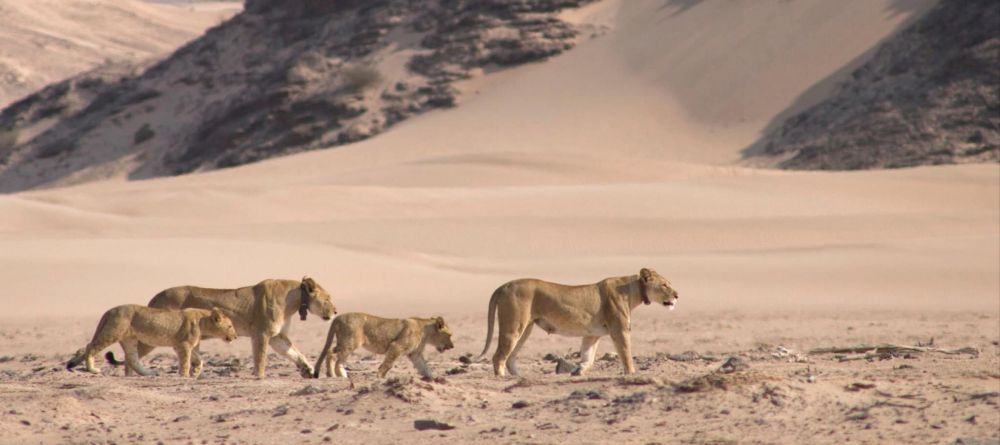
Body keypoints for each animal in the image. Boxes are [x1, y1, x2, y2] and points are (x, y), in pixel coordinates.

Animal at [66, 305, 237, 377]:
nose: (235, 337)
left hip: (129, 339)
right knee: (90, 346)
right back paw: (92, 369)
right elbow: (186, 361)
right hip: (112, 332)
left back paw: (148, 373)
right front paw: (184, 375)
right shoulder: (184, 344)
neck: (203, 321)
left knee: (132, 359)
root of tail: (109, 311)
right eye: (230, 326)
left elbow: (199, 359)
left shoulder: (182, 345)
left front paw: (195, 372)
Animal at [107, 277, 337, 378]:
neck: (295, 300)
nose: (335, 311)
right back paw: (131, 376)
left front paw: (307, 369)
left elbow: (295, 352)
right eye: (327, 298)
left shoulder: (276, 336)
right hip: (155, 335)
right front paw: (259, 377)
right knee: (132, 354)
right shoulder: (262, 334)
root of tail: (156, 297)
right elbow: (260, 358)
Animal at [312, 313, 455, 379]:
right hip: (351, 342)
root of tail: (338, 317)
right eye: (449, 335)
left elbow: (425, 367)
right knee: (336, 357)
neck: (426, 332)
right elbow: (388, 364)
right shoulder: (396, 346)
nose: (452, 346)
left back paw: (332, 375)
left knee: (330, 352)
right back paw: (340, 374)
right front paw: (380, 377)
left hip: (342, 342)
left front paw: (434, 377)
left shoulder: (415, 354)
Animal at [476, 268, 679, 377]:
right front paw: (631, 374)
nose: (677, 295)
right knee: (499, 356)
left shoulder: (592, 334)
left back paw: (519, 377)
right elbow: (626, 353)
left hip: (526, 328)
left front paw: (578, 370)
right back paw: (502, 378)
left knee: (510, 357)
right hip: (514, 326)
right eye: (664, 285)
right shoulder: (620, 329)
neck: (632, 290)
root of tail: (504, 286)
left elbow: (588, 357)